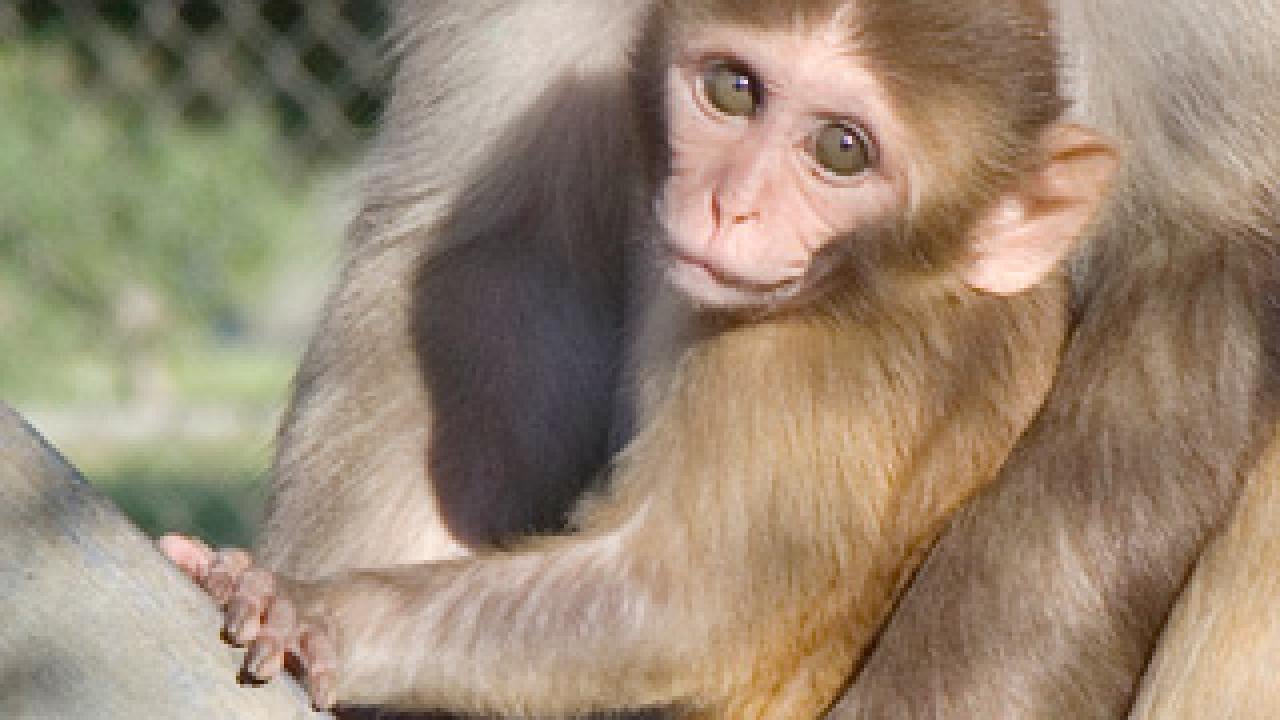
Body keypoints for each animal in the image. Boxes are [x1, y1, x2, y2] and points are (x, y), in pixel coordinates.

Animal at [160, 0, 1120, 716]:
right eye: (733, 90)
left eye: (841, 149)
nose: (731, 204)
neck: (903, 281)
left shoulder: (788, 372)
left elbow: (680, 607)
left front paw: (319, 615)